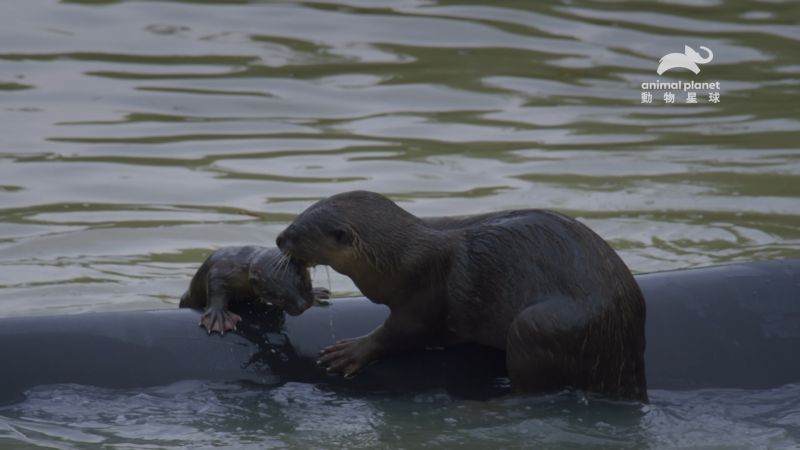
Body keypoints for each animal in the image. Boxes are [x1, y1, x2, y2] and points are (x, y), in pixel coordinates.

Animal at [180, 246, 330, 334]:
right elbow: (215, 288)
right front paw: (218, 317)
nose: (303, 305)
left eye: (302, 280)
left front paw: (317, 294)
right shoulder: (222, 271)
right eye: (277, 295)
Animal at [276, 190, 648, 400]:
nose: (279, 238)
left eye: (299, 233)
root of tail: (628, 349)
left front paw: (350, 352)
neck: (398, 260)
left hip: (540, 324)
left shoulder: (424, 296)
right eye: (297, 216)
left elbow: (401, 333)